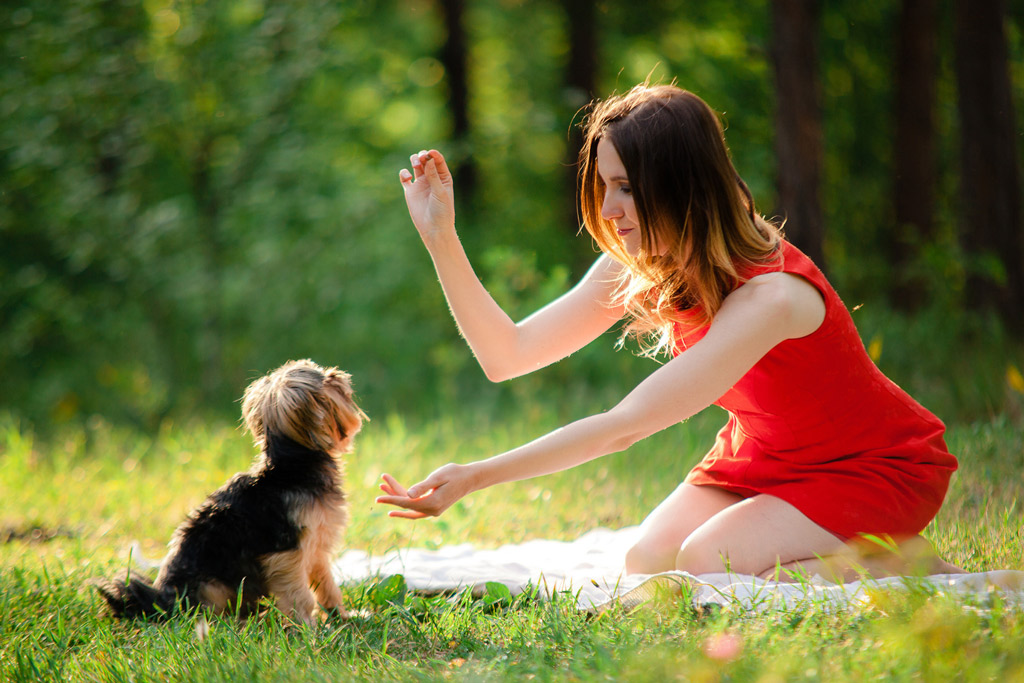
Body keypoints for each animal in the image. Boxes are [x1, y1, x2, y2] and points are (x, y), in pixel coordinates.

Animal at [91, 360, 364, 626]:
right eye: (325, 380)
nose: (338, 375)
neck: (291, 466)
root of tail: (160, 601)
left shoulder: (316, 547)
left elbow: (327, 585)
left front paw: (342, 616)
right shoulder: (285, 553)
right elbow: (298, 594)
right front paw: (307, 627)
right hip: (211, 585)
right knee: (207, 612)